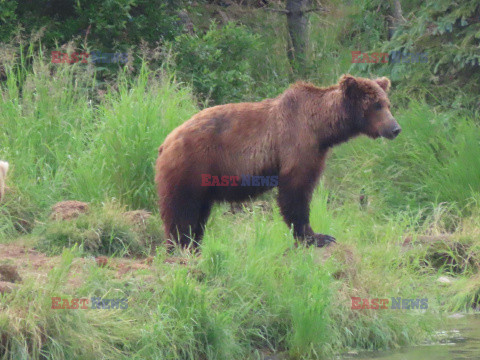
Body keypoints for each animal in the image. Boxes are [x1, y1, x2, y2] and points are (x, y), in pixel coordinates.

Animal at [156, 75, 400, 250]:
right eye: (376, 105)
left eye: (388, 104)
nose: (395, 128)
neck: (321, 129)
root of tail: (165, 142)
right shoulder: (296, 144)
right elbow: (295, 191)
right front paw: (317, 236)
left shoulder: (317, 150)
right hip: (191, 167)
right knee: (181, 211)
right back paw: (180, 246)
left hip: (203, 182)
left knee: (198, 214)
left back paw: (194, 245)